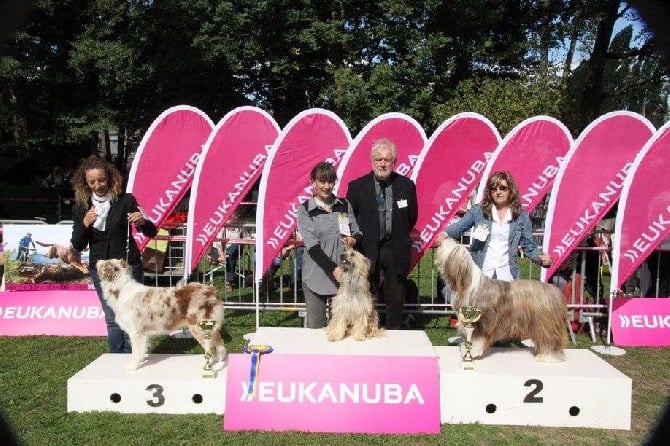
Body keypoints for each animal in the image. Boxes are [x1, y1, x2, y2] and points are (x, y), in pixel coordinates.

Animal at [96, 258, 226, 370]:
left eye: (104, 262)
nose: (97, 260)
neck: (120, 289)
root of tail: (212, 290)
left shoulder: (135, 332)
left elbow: (136, 351)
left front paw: (133, 366)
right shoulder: (142, 333)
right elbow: (142, 349)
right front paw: (142, 360)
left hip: (198, 325)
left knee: (211, 347)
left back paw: (208, 363)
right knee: (219, 342)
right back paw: (219, 360)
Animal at [438, 239, 568, 360]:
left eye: (451, 247)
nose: (443, 239)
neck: (468, 282)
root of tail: (553, 290)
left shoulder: (481, 322)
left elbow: (476, 339)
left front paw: (472, 353)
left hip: (544, 323)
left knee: (549, 338)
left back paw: (548, 356)